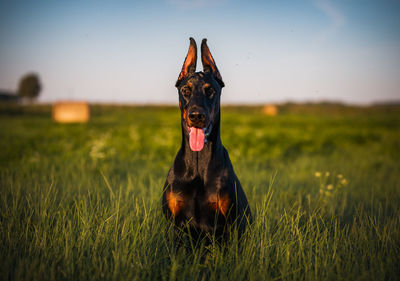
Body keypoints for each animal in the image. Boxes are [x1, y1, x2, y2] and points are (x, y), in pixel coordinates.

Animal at [162, 38, 250, 242]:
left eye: (211, 91)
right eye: (185, 90)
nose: (196, 116)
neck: (198, 163)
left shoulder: (229, 225)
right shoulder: (175, 225)